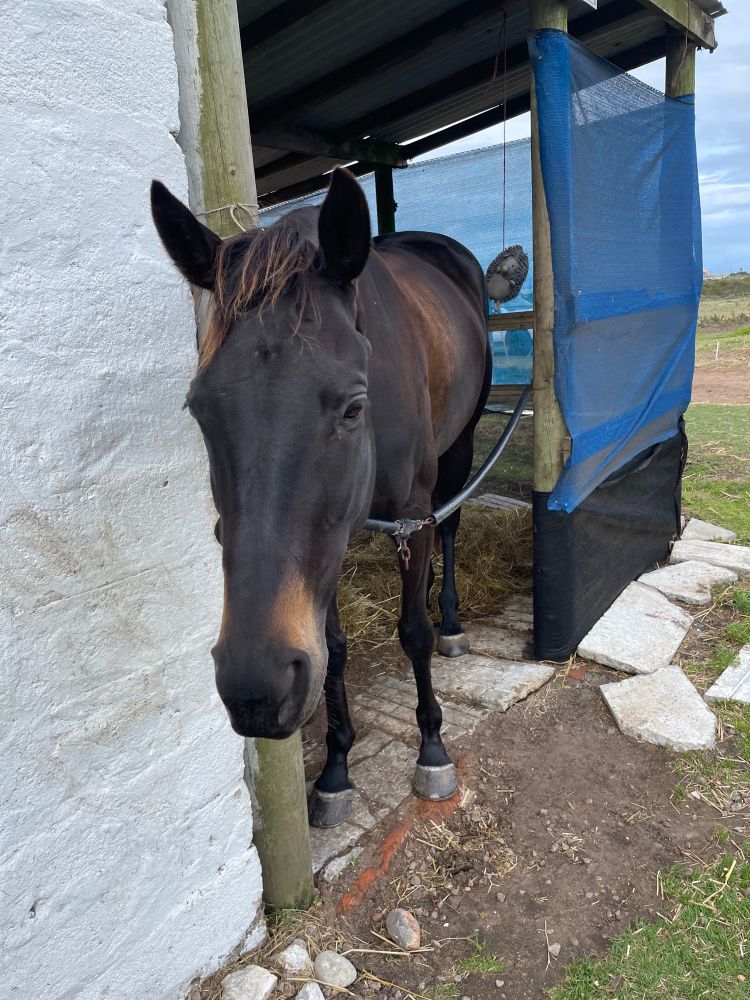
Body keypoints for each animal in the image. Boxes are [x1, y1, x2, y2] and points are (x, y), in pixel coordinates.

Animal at [150, 168, 491, 827]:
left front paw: (432, 749)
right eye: (199, 410)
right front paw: (335, 770)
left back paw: (452, 618)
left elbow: (413, 632)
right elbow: (331, 648)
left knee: (452, 526)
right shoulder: (327, 542)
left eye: (353, 407)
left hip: (459, 446)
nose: (256, 689)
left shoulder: (411, 512)